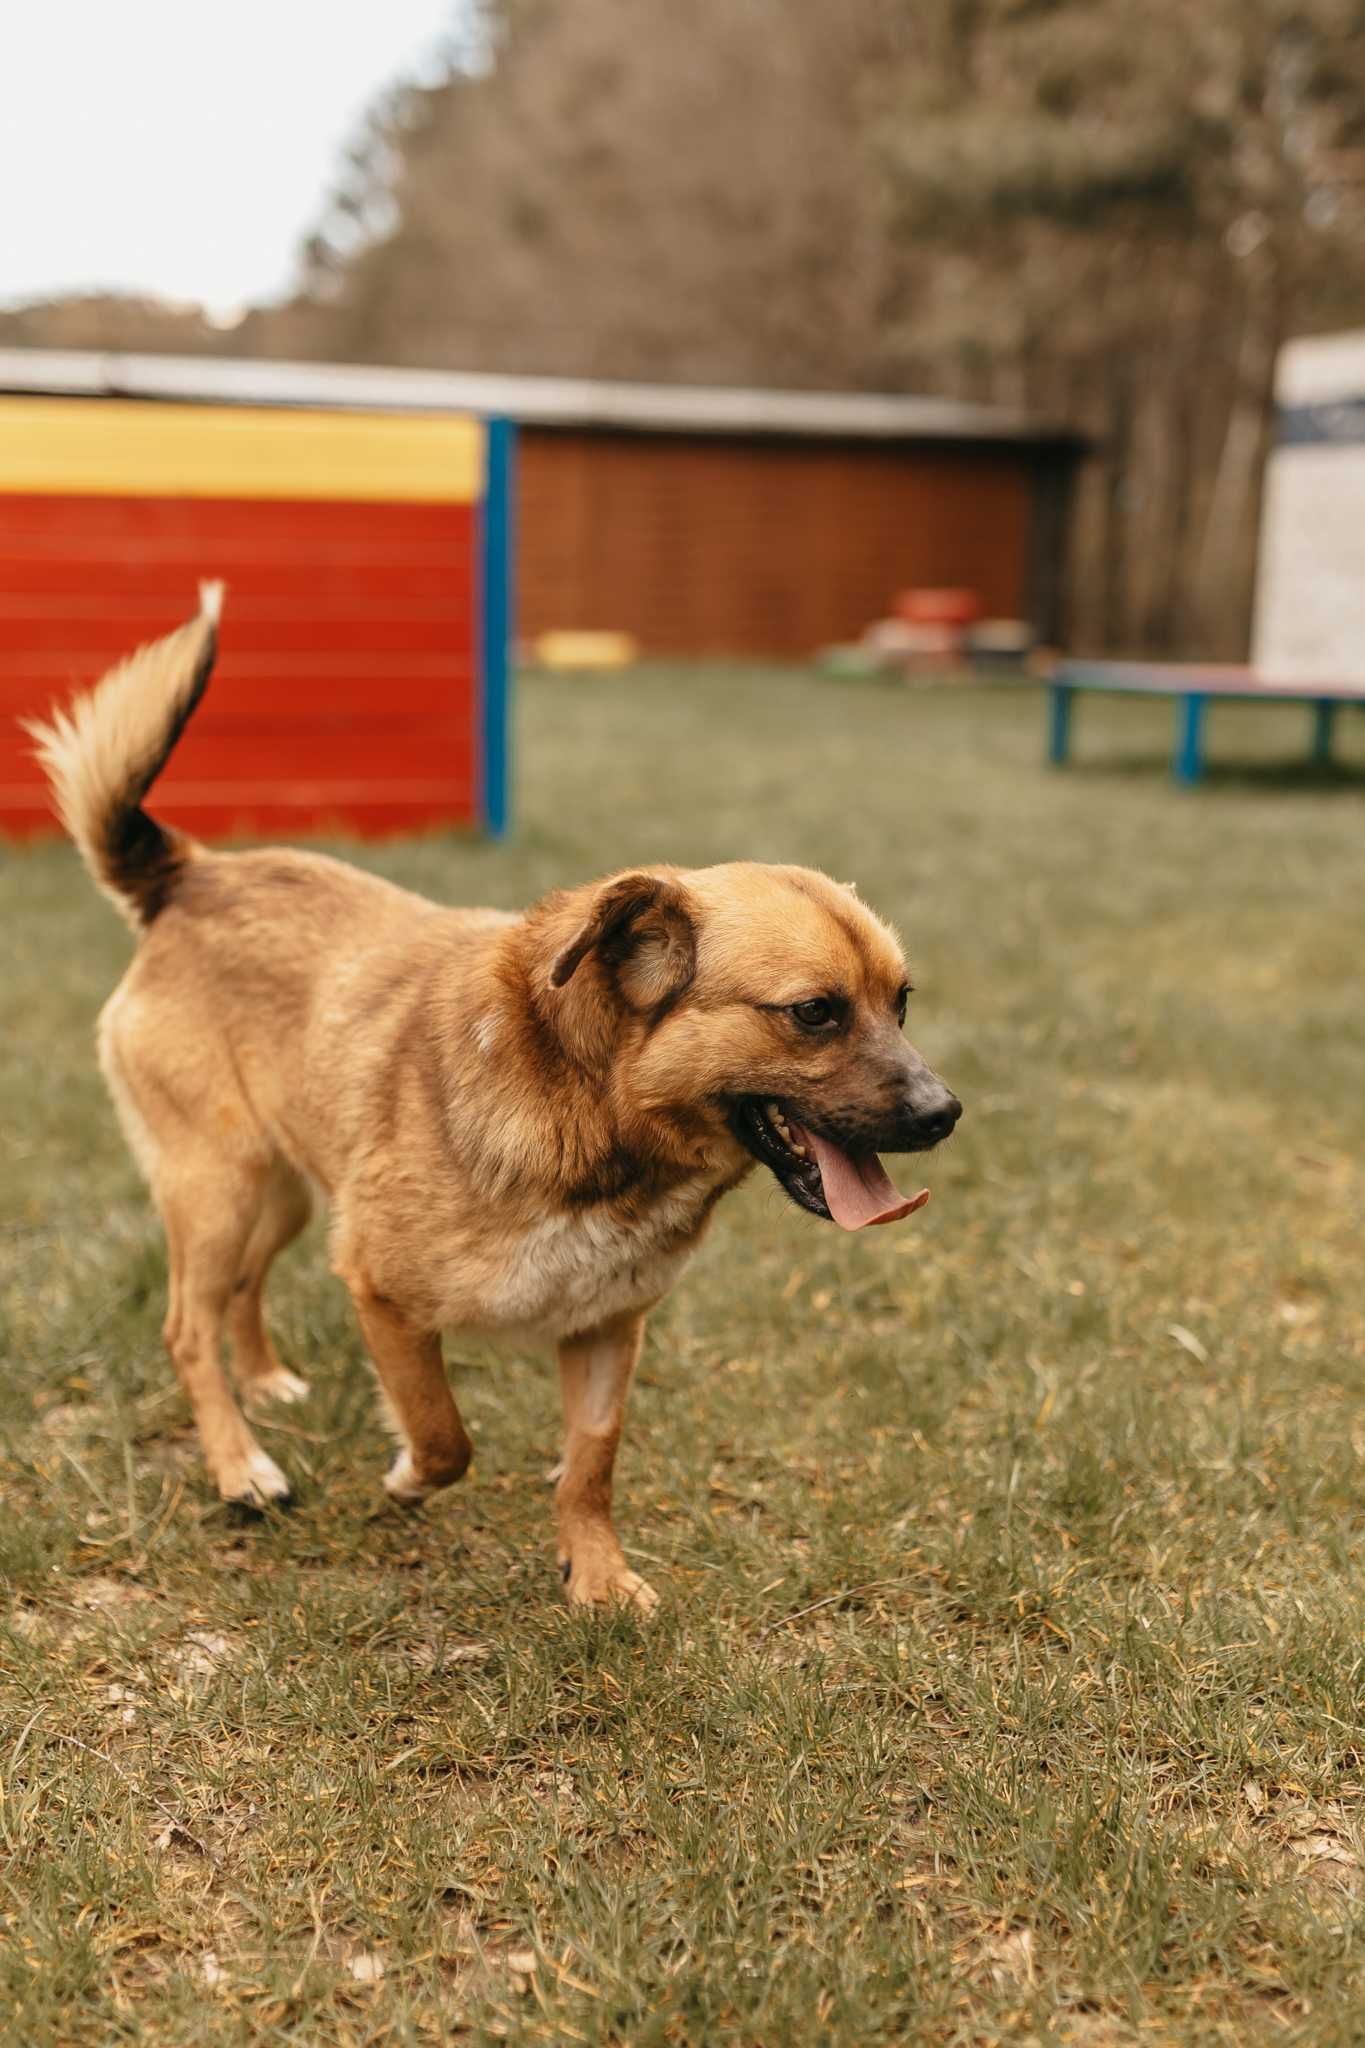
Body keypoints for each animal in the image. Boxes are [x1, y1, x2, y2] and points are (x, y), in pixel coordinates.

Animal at [29, 593, 961, 1613]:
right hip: (218, 1188)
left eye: (900, 1002)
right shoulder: (382, 1291)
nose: (944, 1112)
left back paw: (266, 1381)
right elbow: (443, 1436)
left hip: (283, 1196)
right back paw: (241, 1466)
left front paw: (596, 1574)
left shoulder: (606, 1329)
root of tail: (192, 875)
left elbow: (591, 1463)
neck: (592, 1108)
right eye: (813, 1013)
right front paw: (403, 1475)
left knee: (239, 1290)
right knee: (186, 1327)